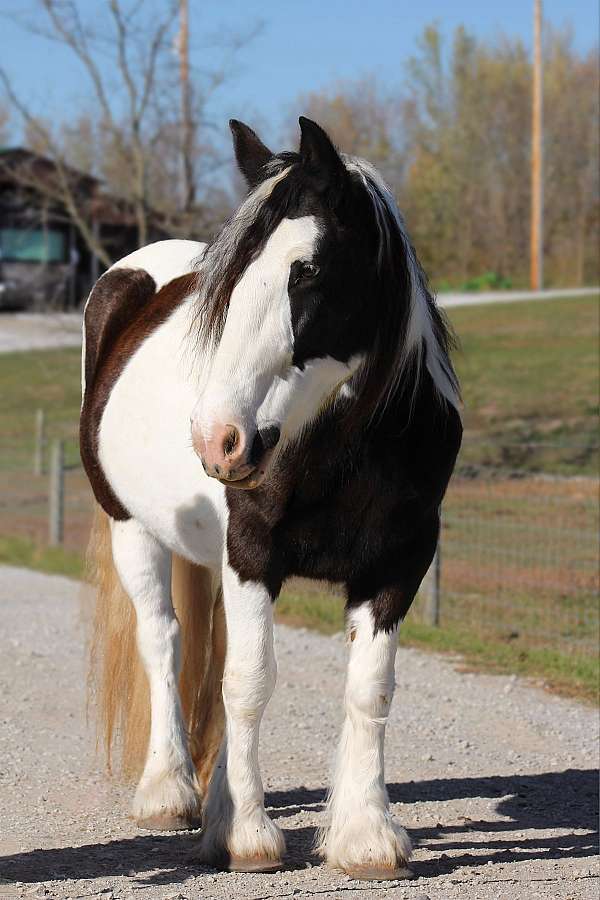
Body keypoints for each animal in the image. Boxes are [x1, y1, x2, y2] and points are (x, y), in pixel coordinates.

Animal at [79, 116, 462, 884]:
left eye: (305, 271)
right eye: (226, 286)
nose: (218, 440)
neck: (339, 450)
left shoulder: (398, 565)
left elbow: (368, 688)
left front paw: (364, 835)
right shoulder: (252, 554)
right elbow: (251, 683)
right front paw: (248, 837)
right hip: (132, 529)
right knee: (164, 643)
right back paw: (169, 791)